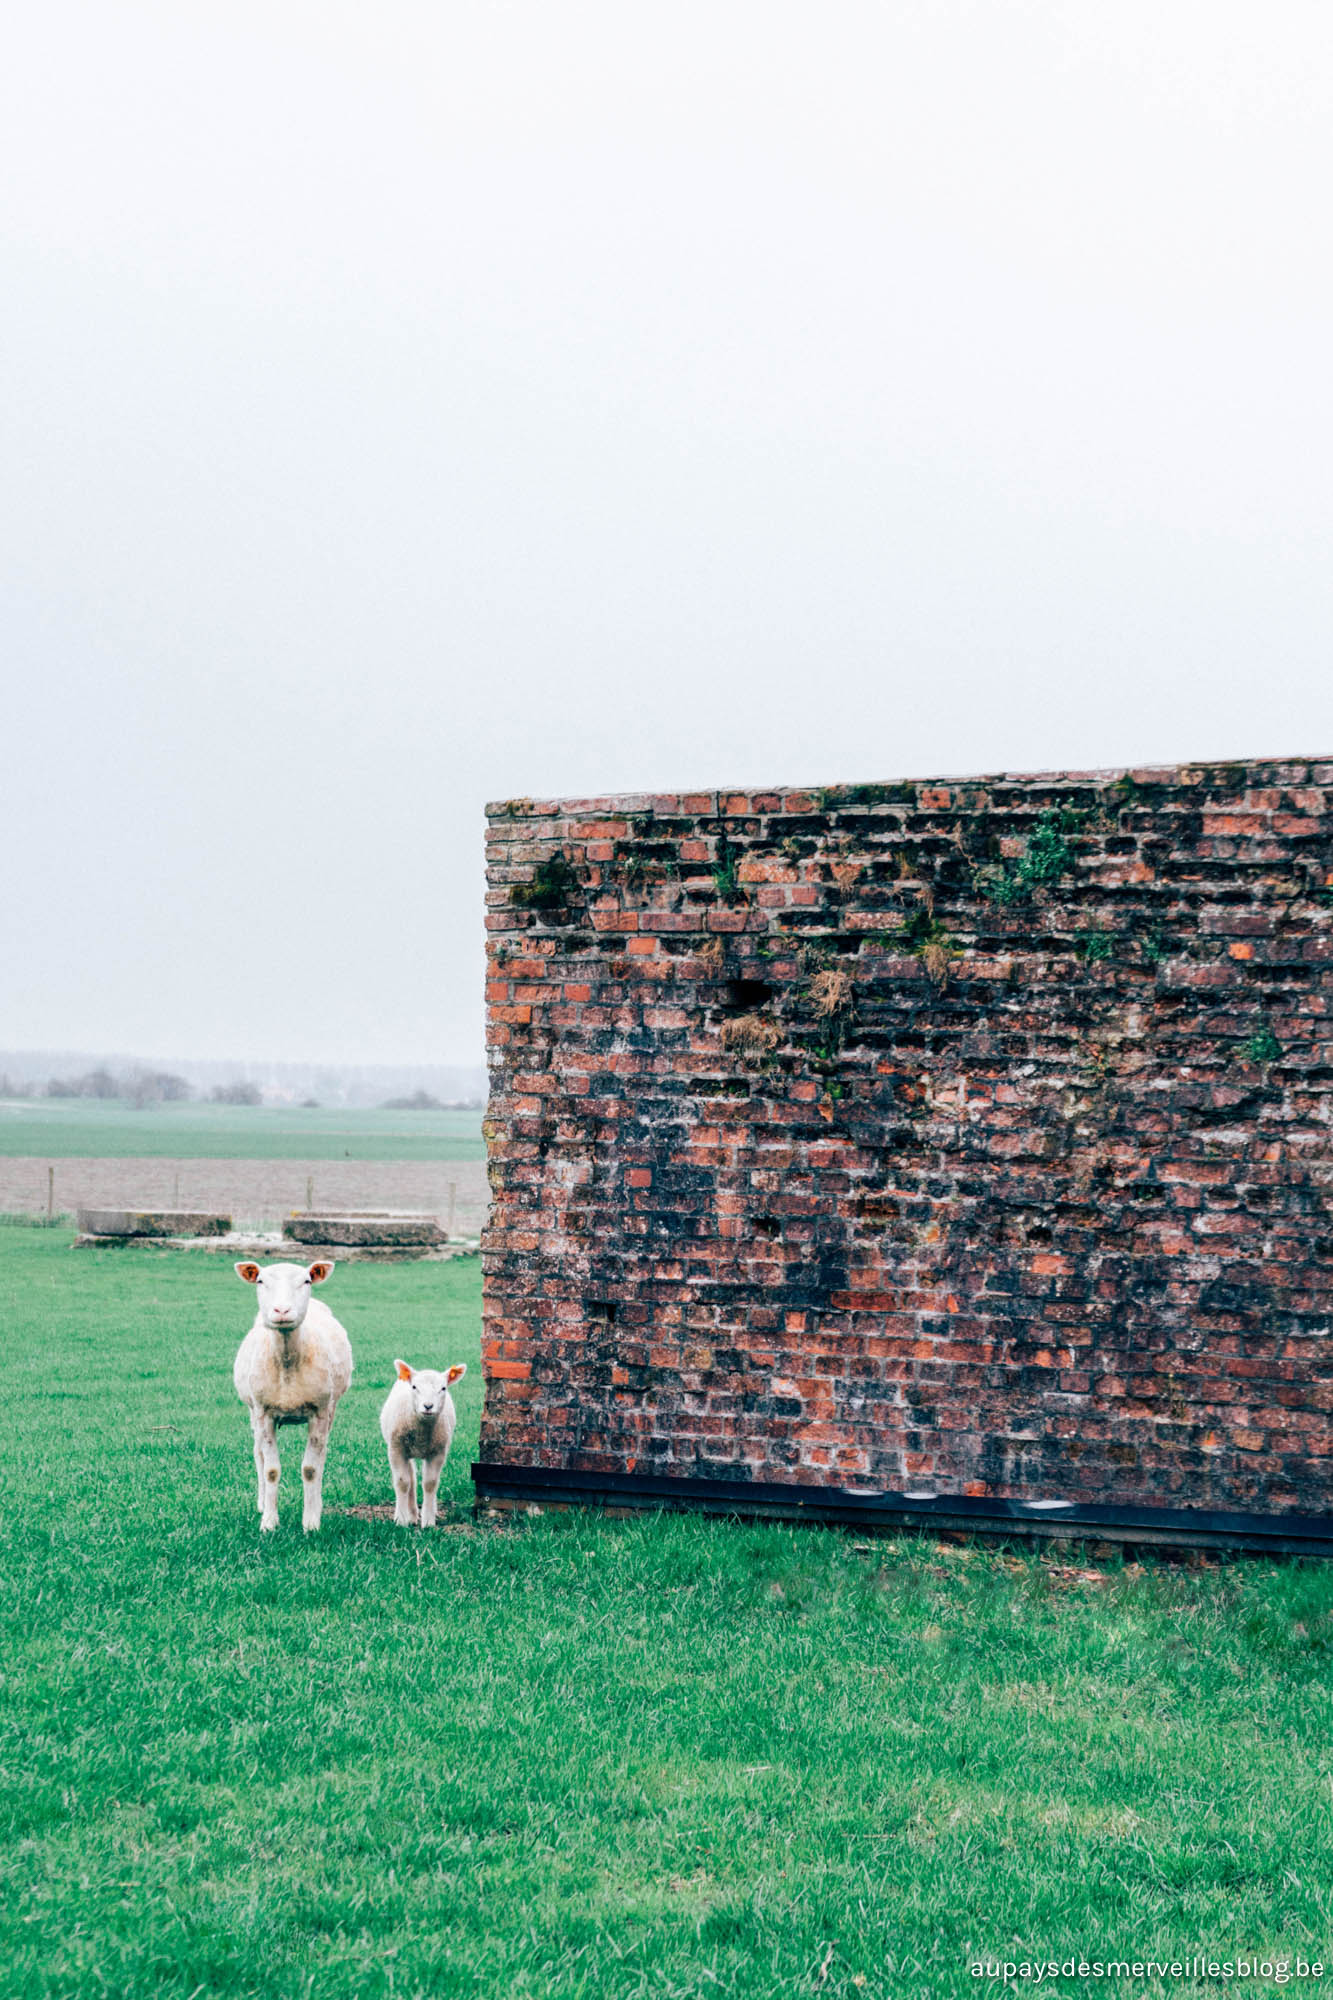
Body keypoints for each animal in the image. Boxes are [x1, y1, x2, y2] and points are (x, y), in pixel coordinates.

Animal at [231, 1264, 352, 1528]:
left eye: (306, 1281)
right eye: (260, 1281)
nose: (282, 1310)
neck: (287, 1362)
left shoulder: (319, 1412)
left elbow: (311, 1469)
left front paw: (311, 1522)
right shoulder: (264, 1413)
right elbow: (271, 1470)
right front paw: (268, 1523)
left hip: (332, 1408)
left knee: (323, 1454)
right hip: (252, 1412)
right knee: (258, 1454)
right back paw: (261, 1503)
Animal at [378, 1360, 466, 1528]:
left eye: (443, 1388)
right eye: (414, 1387)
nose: (428, 1406)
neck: (421, 1433)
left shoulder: (438, 1452)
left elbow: (430, 1483)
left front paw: (428, 1521)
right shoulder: (396, 1449)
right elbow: (402, 1482)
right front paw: (401, 1520)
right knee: (411, 1478)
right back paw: (411, 1514)